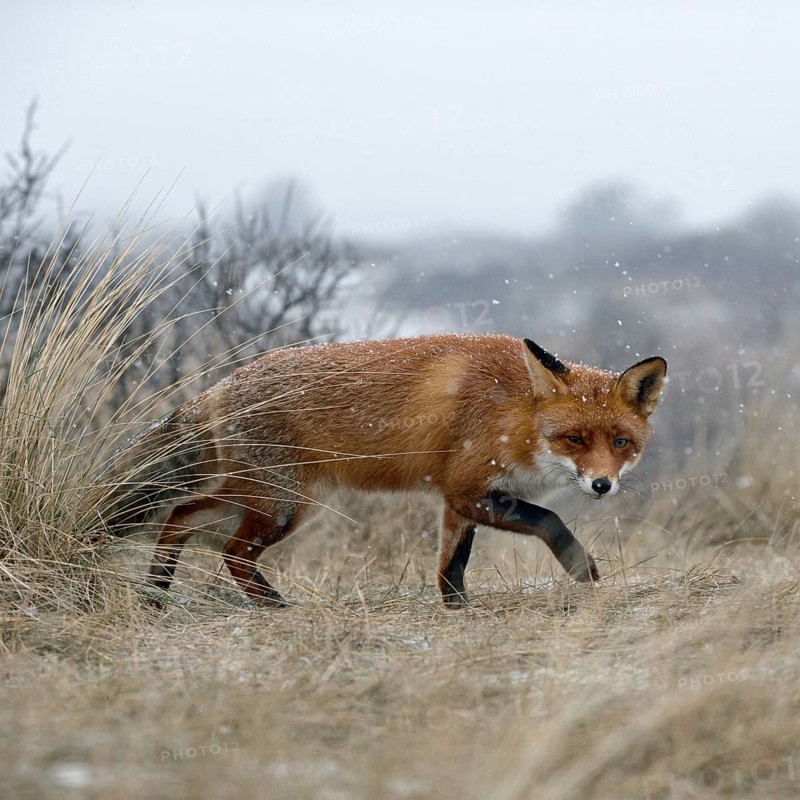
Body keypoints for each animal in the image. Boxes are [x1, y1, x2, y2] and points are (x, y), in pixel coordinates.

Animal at [95, 333, 666, 607]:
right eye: (574, 439)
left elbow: (452, 564)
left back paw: (157, 591)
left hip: (261, 495)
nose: (602, 485)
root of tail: (221, 384)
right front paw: (582, 569)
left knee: (181, 516)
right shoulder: (467, 488)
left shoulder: (460, 499)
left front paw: (456, 609)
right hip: (282, 504)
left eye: (621, 443)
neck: (517, 417)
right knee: (231, 551)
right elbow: (550, 521)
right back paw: (276, 607)